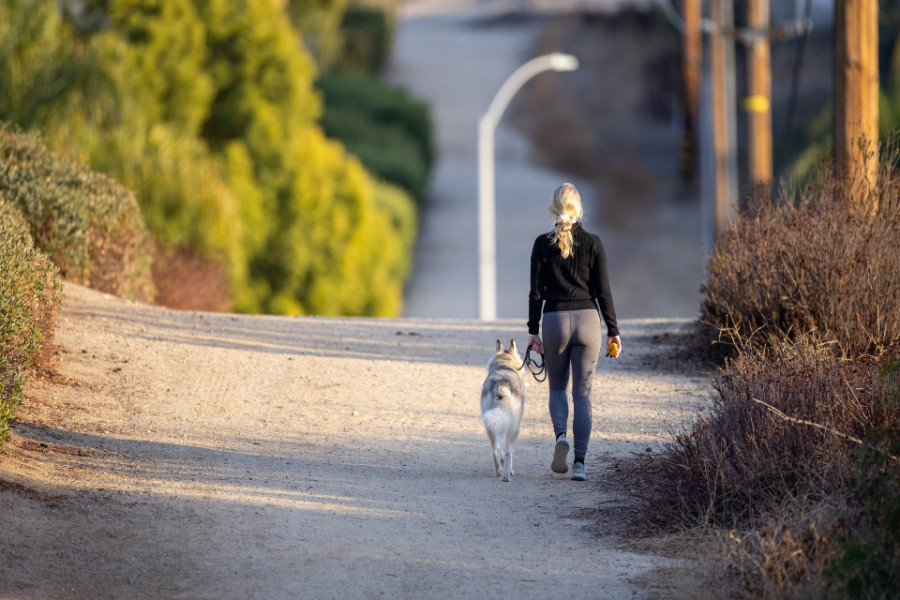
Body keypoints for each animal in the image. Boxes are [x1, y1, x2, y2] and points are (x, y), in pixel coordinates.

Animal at [482, 340, 524, 480]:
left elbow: (499, 447)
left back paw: (499, 471)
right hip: (514, 428)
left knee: (494, 450)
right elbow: (507, 451)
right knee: (508, 452)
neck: (505, 363)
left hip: (489, 423)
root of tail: (501, 386)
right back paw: (506, 476)